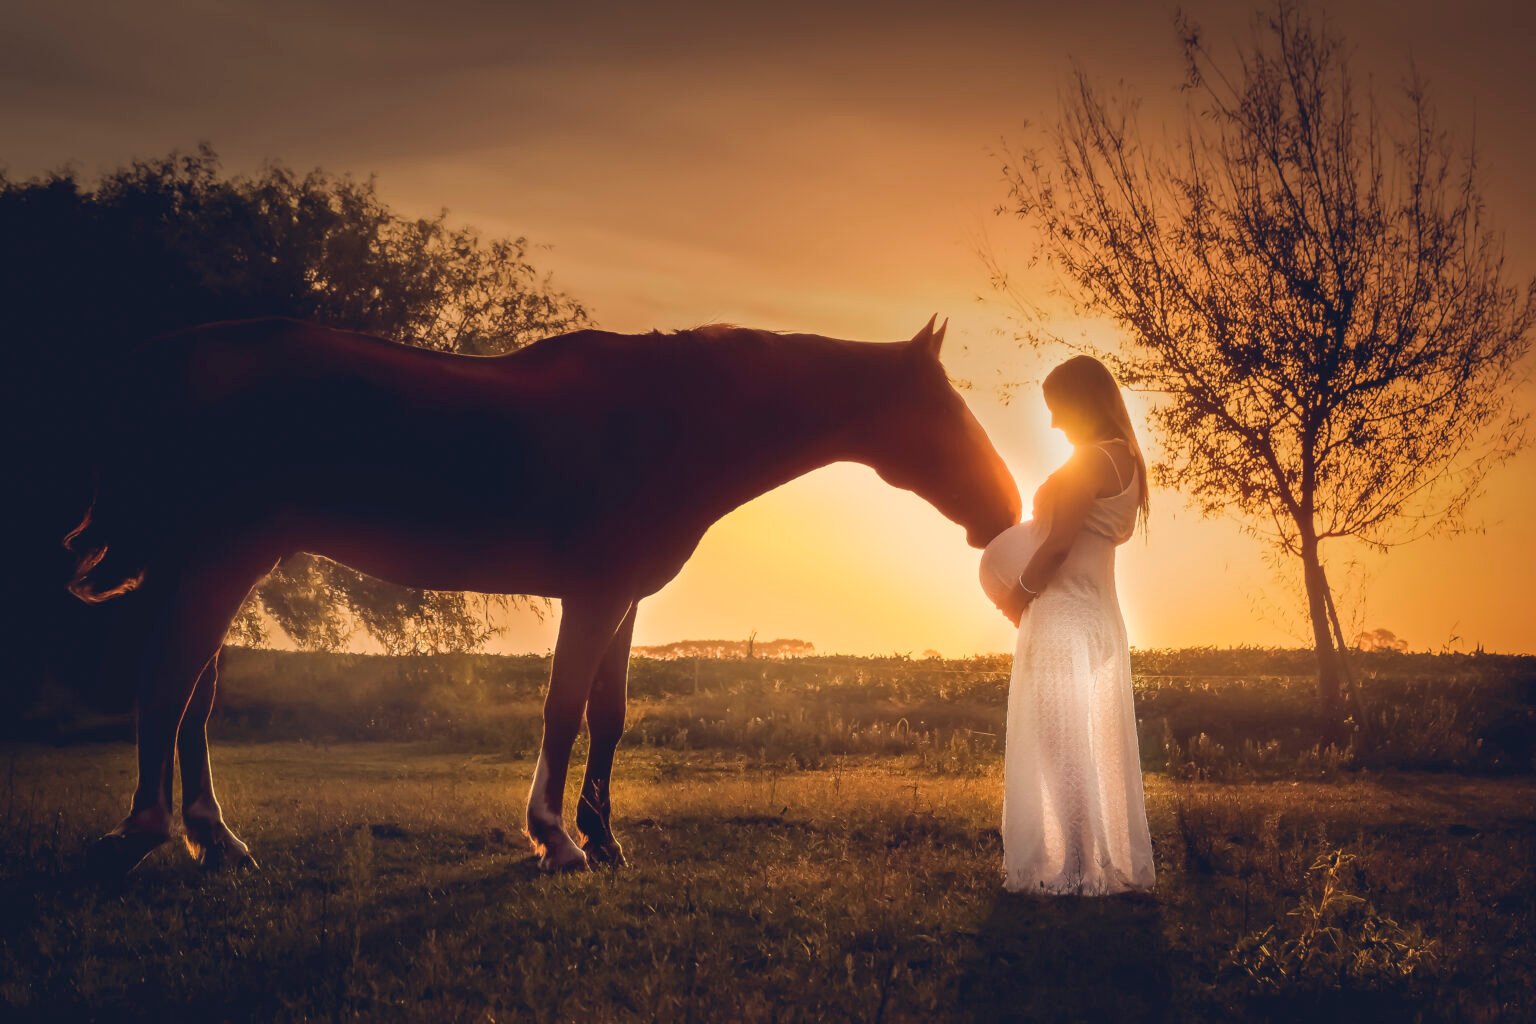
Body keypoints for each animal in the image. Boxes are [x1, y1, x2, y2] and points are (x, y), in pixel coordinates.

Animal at [66, 310, 1019, 872]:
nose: (1005, 510)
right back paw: (154, 829)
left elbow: (609, 715)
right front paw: (557, 838)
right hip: (225, 559)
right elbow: (563, 710)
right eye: (943, 410)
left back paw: (213, 837)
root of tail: (174, 356)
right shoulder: (593, 596)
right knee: (170, 685)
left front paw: (605, 836)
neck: (668, 420)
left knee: (192, 697)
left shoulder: (624, 599)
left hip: (213, 562)